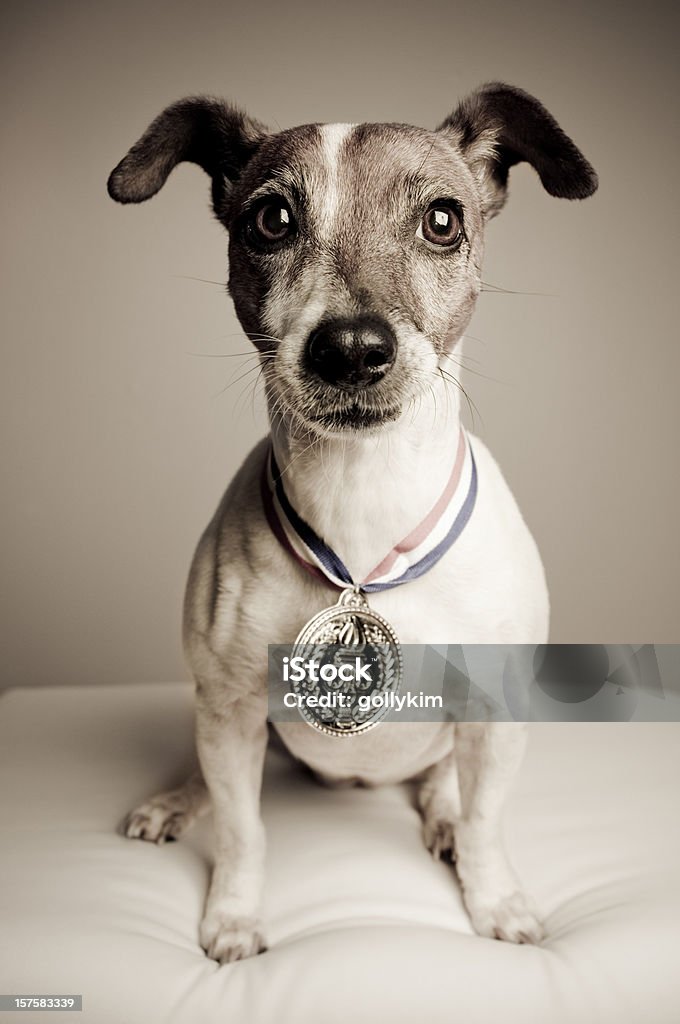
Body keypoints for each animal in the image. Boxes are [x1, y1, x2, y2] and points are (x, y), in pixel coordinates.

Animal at [109, 83, 598, 962]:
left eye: (442, 219)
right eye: (271, 219)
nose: (350, 347)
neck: (364, 505)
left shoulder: (497, 712)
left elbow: (487, 821)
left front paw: (495, 899)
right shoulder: (230, 707)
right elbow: (242, 833)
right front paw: (233, 916)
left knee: (443, 787)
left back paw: (440, 818)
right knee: (216, 786)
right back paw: (178, 801)